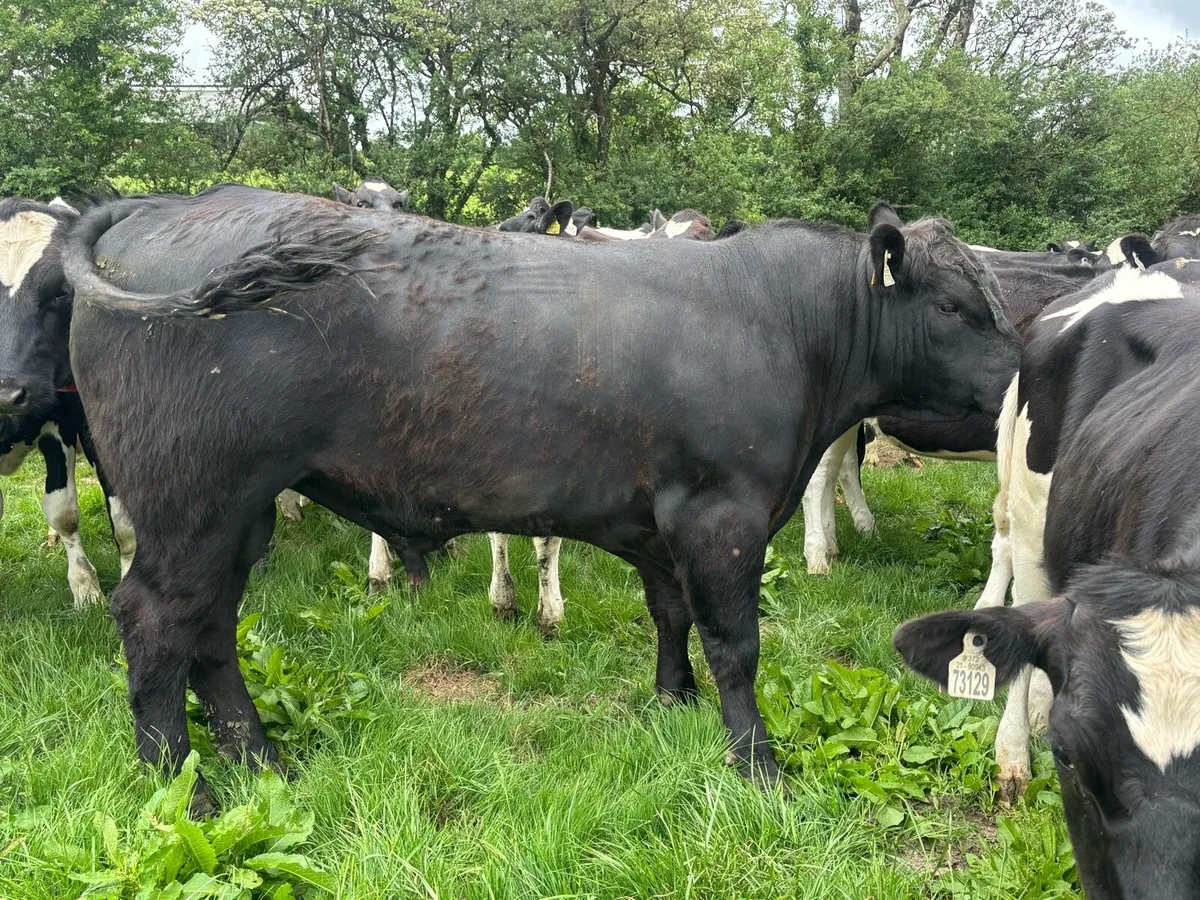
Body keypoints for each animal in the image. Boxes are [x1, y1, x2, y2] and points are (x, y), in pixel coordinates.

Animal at [63, 187, 1020, 811]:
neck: (782, 322)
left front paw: (672, 703)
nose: (1024, 371)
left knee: (211, 630)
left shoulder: (665, 522)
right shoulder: (723, 516)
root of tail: (163, 205)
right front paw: (758, 766)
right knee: (156, 621)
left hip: (236, 514)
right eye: (956, 306)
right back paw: (183, 791)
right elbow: (737, 644)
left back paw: (260, 758)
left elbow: (671, 614)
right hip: (191, 503)